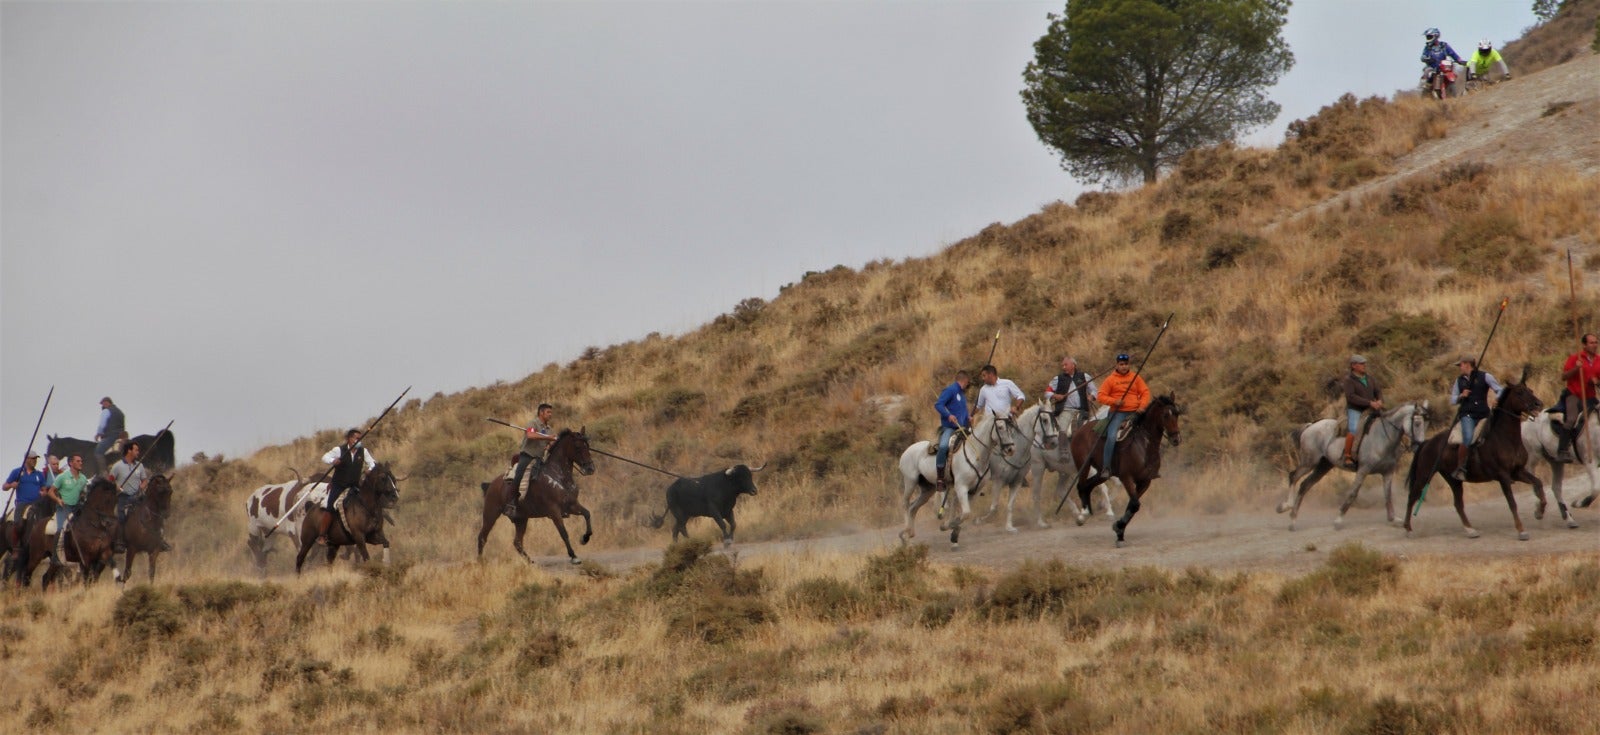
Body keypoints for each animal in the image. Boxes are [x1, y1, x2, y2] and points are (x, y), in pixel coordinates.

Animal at [480, 429, 601, 566]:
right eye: (578, 446)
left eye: (588, 446)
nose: (590, 468)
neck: (559, 476)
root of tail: (491, 485)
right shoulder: (554, 511)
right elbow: (563, 533)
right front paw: (573, 556)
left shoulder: (572, 505)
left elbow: (587, 514)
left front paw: (584, 538)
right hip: (490, 514)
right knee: (482, 537)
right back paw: (480, 561)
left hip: (521, 519)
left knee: (517, 542)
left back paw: (530, 561)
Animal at [896, 409, 1004, 550]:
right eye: (1001, 427)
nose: (1010, 448)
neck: (974, 453)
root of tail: (906, 451)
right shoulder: (961, 487)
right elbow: (963, 512)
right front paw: (949, 527)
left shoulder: (973, 490)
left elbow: (961, 511)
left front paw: (953, 534)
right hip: (910, 482)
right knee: (905, 504)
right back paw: (905, 532)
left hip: (927, 489)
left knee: (913, 507)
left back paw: (909, 535)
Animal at [1068, 397, 1184, 547]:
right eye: (1165, 415)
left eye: (1177, 413)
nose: (1176, 439)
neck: (1144, 445)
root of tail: (1079, 430)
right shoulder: (1126, 477)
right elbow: (1134, 505)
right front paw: (1118, 530)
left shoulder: (1145, 481)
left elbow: (1132, 506)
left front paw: (1119, 530)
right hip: (1084, 465)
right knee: (1081, 486)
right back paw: (1083, 516)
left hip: (1102, 473)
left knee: (1087, 486)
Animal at [1273, 403, 1440, 528]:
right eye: (1417, 423)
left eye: (1427, 424)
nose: (1418, 445)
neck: (1382, 438)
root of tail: (1310, 426)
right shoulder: (1363, 470)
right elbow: (1353, 493)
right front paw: (1339, 519)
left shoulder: (1387, 472)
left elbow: (1388, 495)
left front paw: (1394, 519)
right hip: (1310, 462)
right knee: (1293, 476)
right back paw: (1285, 506)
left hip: (1323, 466)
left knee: (1305, 485)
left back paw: (1293, 519)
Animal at [1408, 366, 1542, 541]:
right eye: (1519, 392)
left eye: (1530, 390)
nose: (1538, 404)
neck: (1504, 437)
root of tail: (1427, 442)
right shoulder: (1503, 477)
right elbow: (1512, 503)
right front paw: (1521, 531)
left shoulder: (1517, 472)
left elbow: (1538, 484)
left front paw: (1540, 511)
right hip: (1424, 476)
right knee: (1412, 496)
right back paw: (1408, 528)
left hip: (1453, 480)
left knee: (1458, 504)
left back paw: (1470, 530)